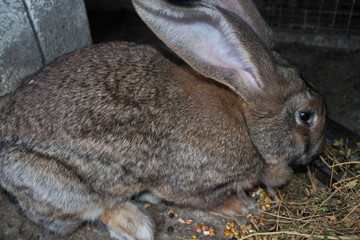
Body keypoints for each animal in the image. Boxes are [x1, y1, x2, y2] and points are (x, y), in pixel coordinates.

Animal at [0, 0, 326, 239]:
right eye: (305, 116)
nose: (317, 152)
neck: (247, 123)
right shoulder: (193, 181)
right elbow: (205, 199)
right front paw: (241, 206)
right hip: (63, 187)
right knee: (88, 211)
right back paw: (135, 223)